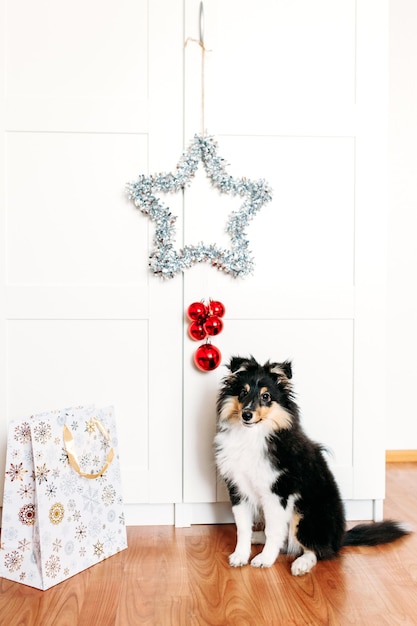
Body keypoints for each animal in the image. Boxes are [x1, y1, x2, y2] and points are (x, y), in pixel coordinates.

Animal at [214, 356, 410, 576]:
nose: (246, 415)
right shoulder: (237, 488)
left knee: (316, 549)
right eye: (242, 392)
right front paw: (240, 555)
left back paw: (301, 563)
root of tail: (339, 539)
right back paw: (258, 538)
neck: (252, 435)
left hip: (306, 513)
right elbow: (242, 527)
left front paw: (264, 559)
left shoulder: (278, 493)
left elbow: (273, 530)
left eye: (266, 396)